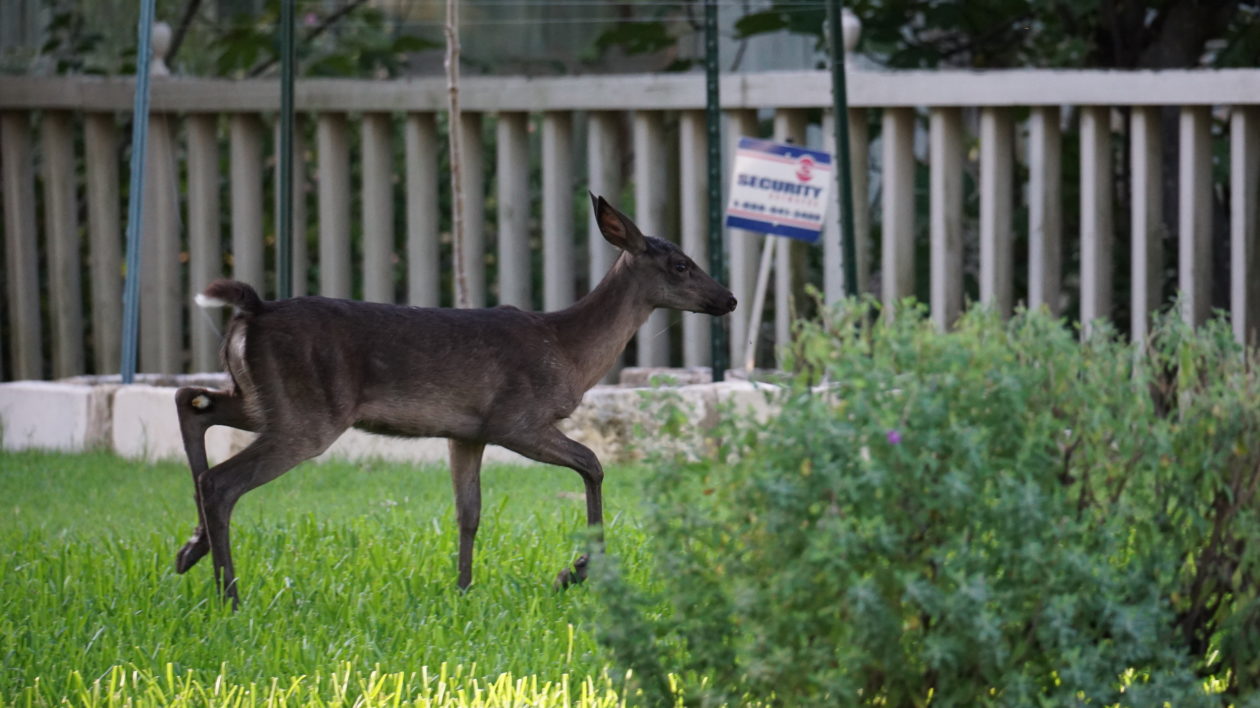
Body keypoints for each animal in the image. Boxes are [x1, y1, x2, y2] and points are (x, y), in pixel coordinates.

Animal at [168, 195, 735, 604]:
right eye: (681, 264)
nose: (727, 298)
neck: (567, 351)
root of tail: (253, 313)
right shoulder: (517, 419)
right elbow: (593, 464)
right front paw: (574, 572)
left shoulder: (466, 432)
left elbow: (469, 511)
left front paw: (463, 589)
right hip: (307, 413)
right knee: (221, 479)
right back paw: (228, 594)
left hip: (263, 399)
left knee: (191, 399)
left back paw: (190, 550)